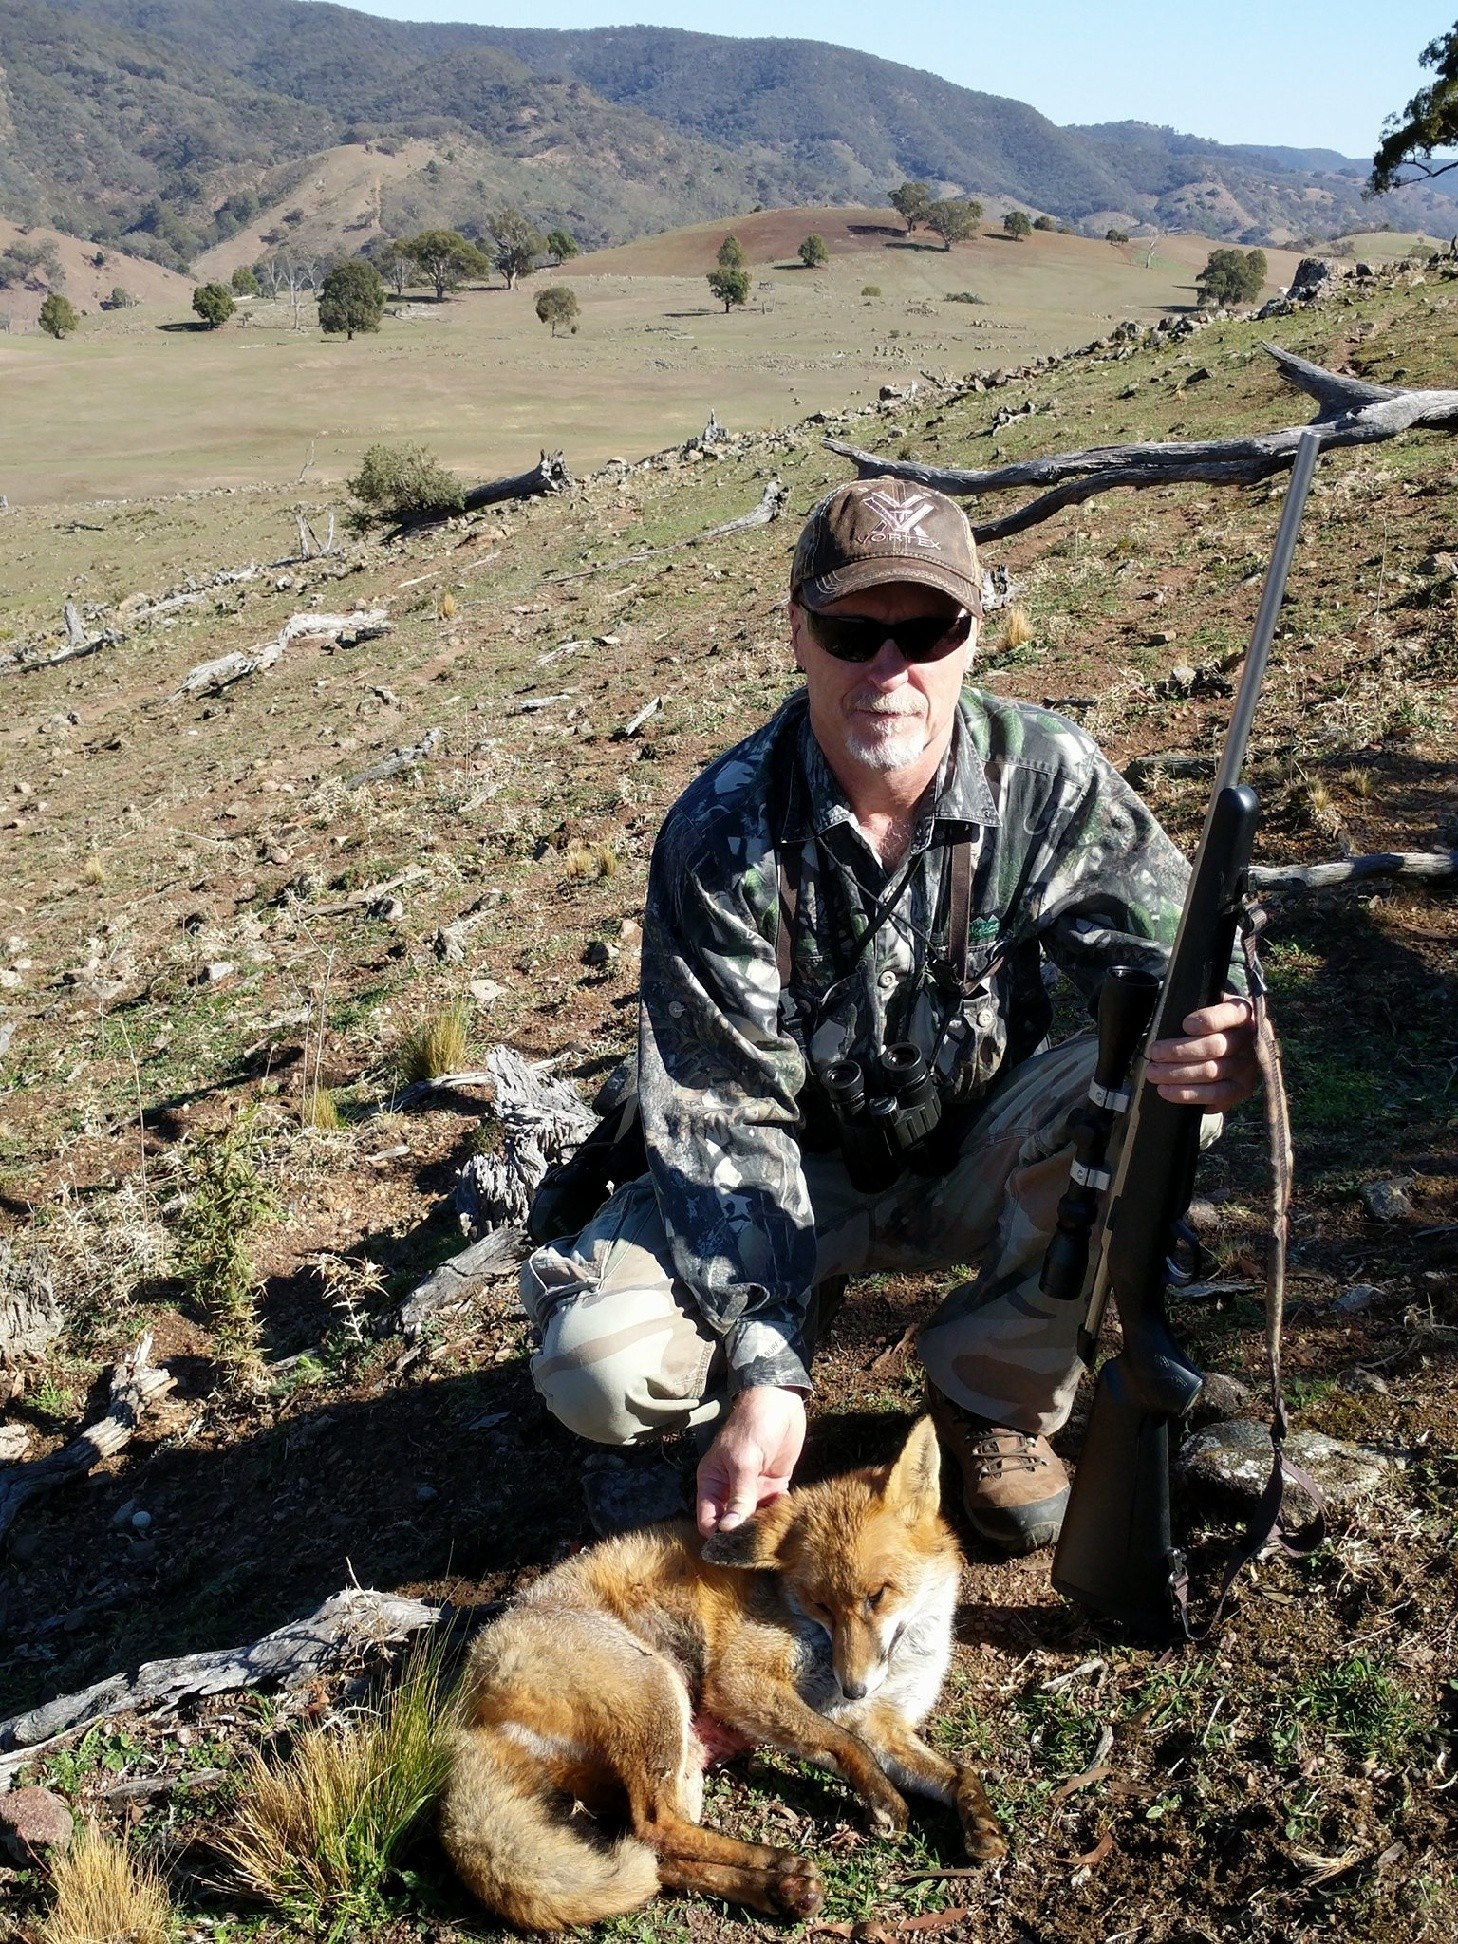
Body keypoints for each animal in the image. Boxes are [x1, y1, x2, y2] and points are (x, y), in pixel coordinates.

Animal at [445, 1415, 1010, 1928]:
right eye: (821, 1606)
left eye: (878, 1595)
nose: (853, 1687)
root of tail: (465, 1708)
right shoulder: (743, 1681)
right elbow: (843, 1744)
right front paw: (884, 1800)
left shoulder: (884, 1722)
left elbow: (957, 1772)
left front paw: (980, 1821)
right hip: (657, 1695)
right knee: (653, 1828)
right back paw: (778, 1863)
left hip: (682, 1761)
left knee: (661, 1855)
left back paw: (777, 1890)